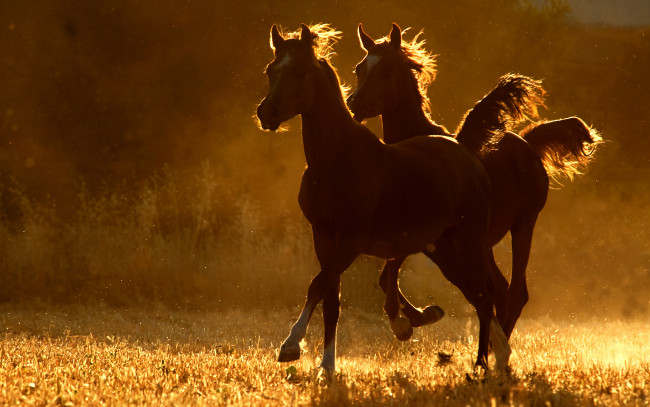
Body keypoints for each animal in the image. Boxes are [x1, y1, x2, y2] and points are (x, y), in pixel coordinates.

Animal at [256, 22, 508, 372]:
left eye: (301, 71)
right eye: (271, 70)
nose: (267, 113)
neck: (336, 162)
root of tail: (467, 153)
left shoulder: (352, 240)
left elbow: (318, 285)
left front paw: (291, 345)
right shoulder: (324, 237)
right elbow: (330, 299)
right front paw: (327, 366)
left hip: (468, 243)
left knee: (484, 296)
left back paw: (488, 361)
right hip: (444, 250)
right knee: (479, 295)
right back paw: (496, 359)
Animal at [346, 23, 600, 342]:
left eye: (387, 70)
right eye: (359, 68)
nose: (353, 104)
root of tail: (527, 142)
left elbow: (388, 272)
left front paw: (405, 323)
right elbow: (385, 276)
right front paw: (422, 316)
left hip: (523, 224)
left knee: (515, 293)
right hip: (483, 244)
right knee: (500, 291)